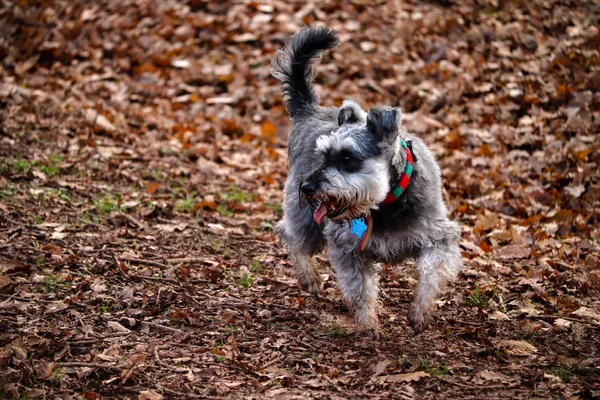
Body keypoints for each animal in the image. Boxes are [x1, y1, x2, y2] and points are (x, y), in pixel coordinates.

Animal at [272, 26, 464, 334]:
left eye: (348, 157)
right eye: (322, 155)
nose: (308, 187)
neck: (386, 202)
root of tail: (310, 110)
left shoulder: (439, 237)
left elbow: (431, 274)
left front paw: (419, 312)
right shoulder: (348, 248)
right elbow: (360, 288)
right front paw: (368, 323)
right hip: (305, 219)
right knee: (290, 236)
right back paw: (309, 278)